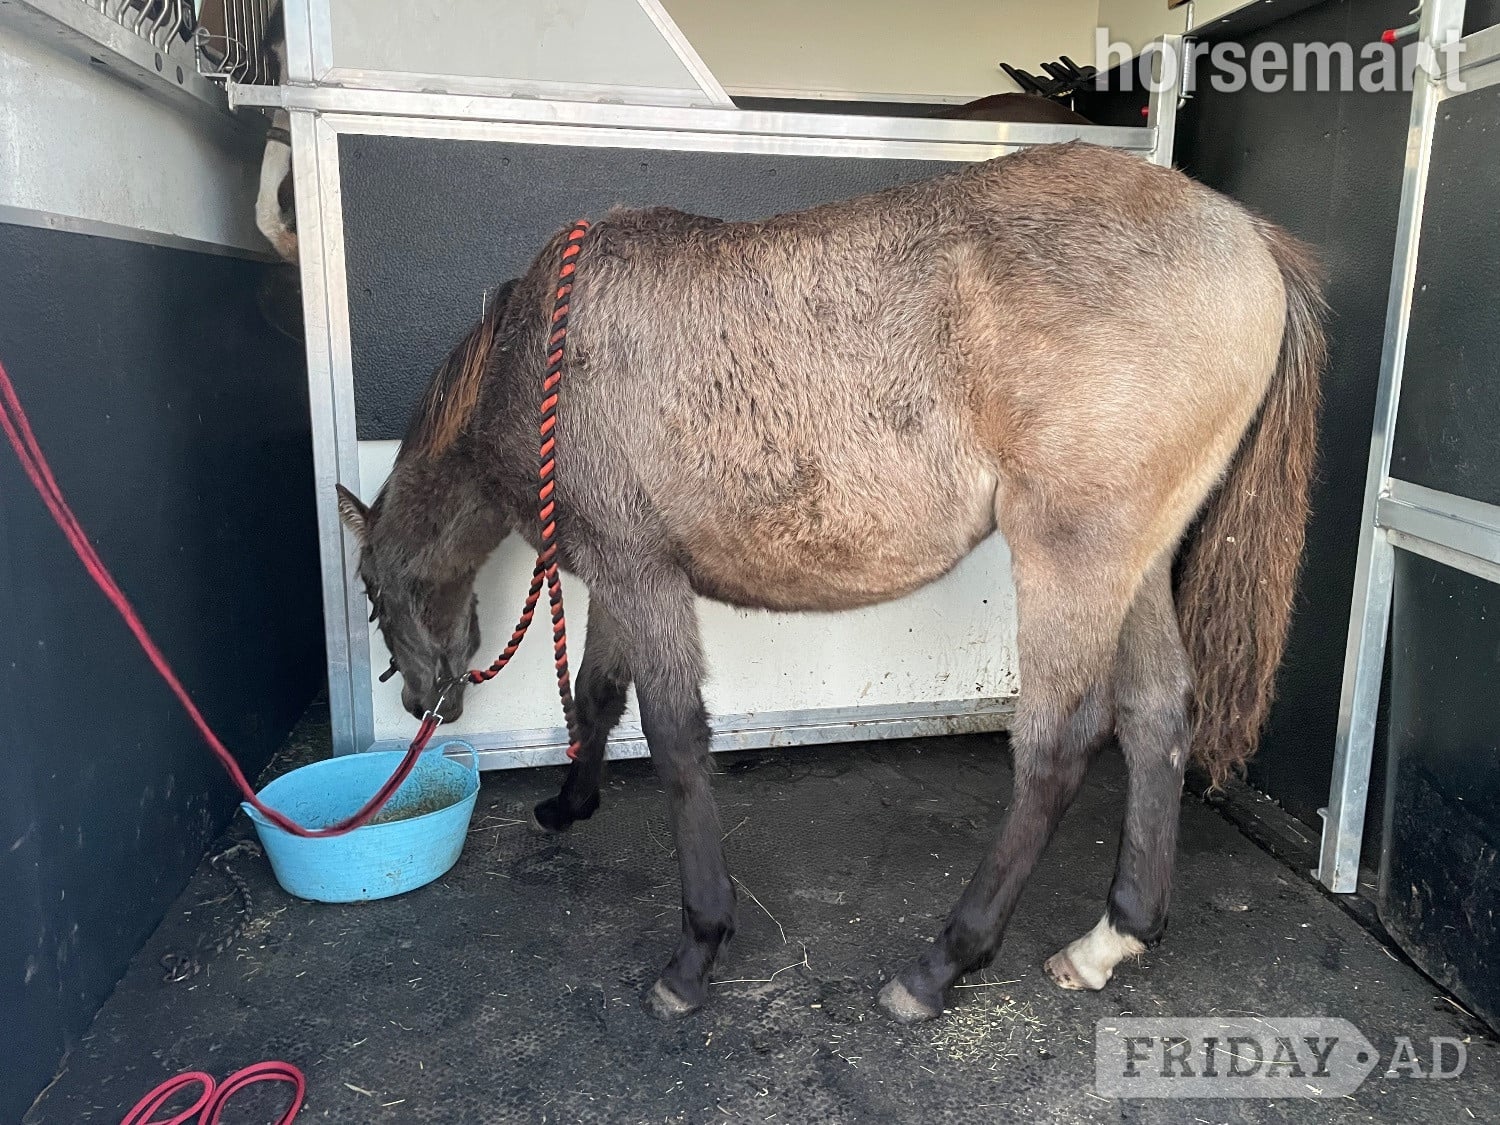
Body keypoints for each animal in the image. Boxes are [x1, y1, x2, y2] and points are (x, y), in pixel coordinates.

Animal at [334, 141, 1325, 1024]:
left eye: (371, 589)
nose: (424, 702)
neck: (543, 353)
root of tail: (1248, 239)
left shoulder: (639, 574)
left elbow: (677, 739)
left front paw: (695, 951)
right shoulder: (627, 570)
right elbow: (596, 693)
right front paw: (569, 801)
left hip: (1071, 553)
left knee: (1058, 743)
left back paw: (939, 965)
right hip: (1138, 559)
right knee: (1158, 713)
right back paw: (1110, 937)